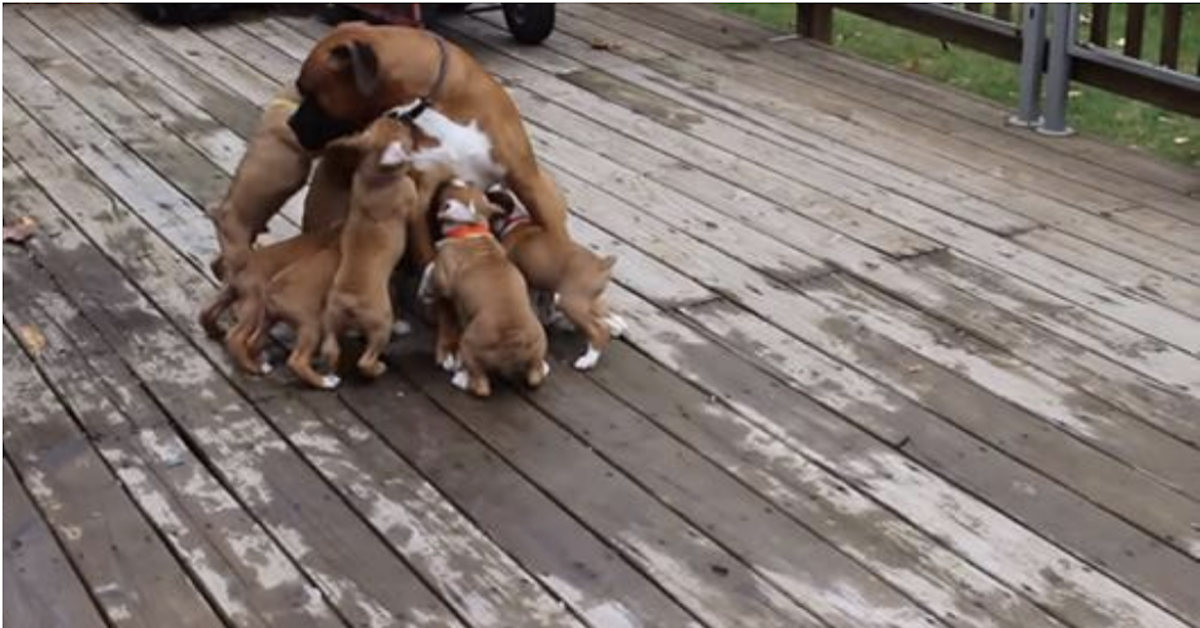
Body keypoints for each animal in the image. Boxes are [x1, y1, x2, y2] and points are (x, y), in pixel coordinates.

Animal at [316, 114, 420, 379]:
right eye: (405, 133)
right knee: (366, 359)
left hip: (331, 319)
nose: (400, 115)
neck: (375, 176)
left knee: (331, 349)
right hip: (381, 324)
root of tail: (351, 301)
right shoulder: (410, 198)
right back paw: (377, 368)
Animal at [427, 180, 549, 398]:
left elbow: (435, 276)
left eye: (446, 193)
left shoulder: (442, 277)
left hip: (469, 344)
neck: (471, 228)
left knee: (481, 385)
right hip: (539, 344)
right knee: (536, 374)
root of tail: (514, 340)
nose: (447, 180)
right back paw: (543, 367)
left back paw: (462, 379)